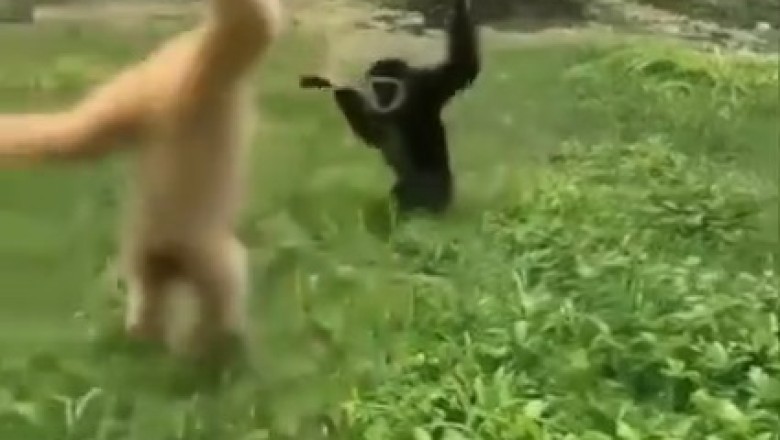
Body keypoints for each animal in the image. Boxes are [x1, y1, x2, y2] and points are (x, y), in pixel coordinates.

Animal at [300, 0, 480, 214]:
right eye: (377, 86)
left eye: (388, 85)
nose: (382, 96)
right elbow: (373, 136)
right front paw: (339, 89)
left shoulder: (426, 85)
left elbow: (462, 68)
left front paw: (459, 6)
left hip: (437, 188)